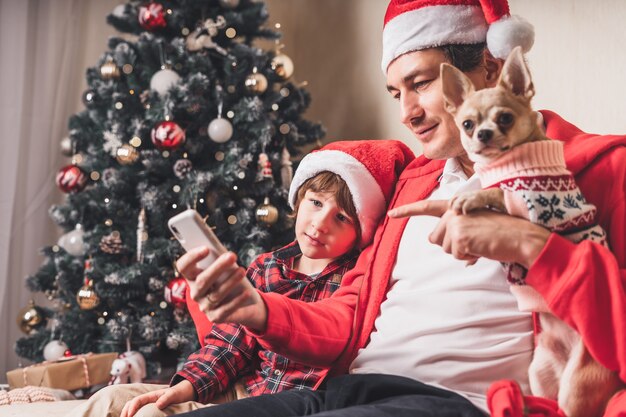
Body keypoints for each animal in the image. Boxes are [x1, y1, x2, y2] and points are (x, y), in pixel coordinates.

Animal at [438, 45, 620, 416]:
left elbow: (500, 192)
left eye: (505, 118)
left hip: (578, 386)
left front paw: (473, 196)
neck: (510, 163)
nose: (483, 134)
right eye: (467, 124)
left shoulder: (534, 206)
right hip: (540, 370)